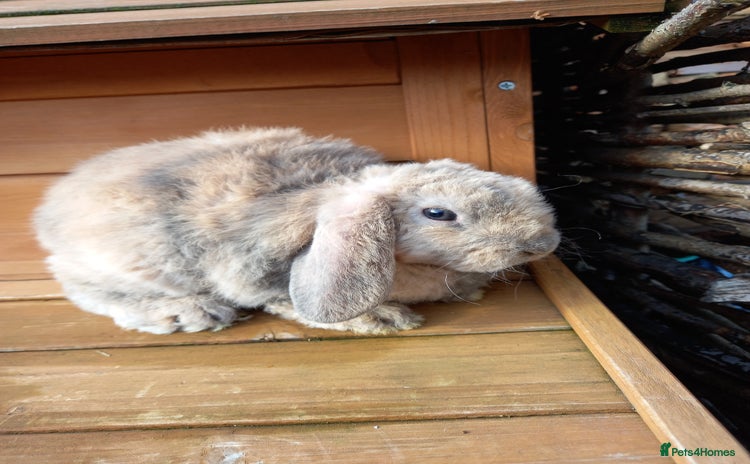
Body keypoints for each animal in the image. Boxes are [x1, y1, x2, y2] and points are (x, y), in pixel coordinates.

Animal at [34, 127, 560, 335]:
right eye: (439, 214)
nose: (543, 241)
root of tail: (48, 210)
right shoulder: (258, 272)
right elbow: (286, 302)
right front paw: (382, 318)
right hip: (127, 264)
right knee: (88, 291)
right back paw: (189, 312)